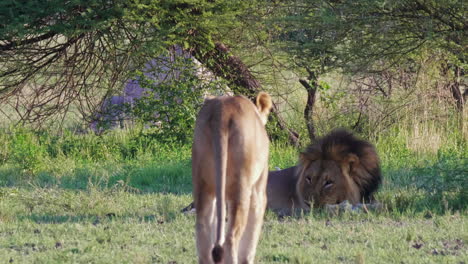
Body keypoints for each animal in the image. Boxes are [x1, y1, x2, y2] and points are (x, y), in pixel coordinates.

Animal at [192, 92, 272, 264]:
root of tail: (221, 111)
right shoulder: (259, 188)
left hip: (202, 182)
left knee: (203, 229)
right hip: (241, 185)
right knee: (231, 238)